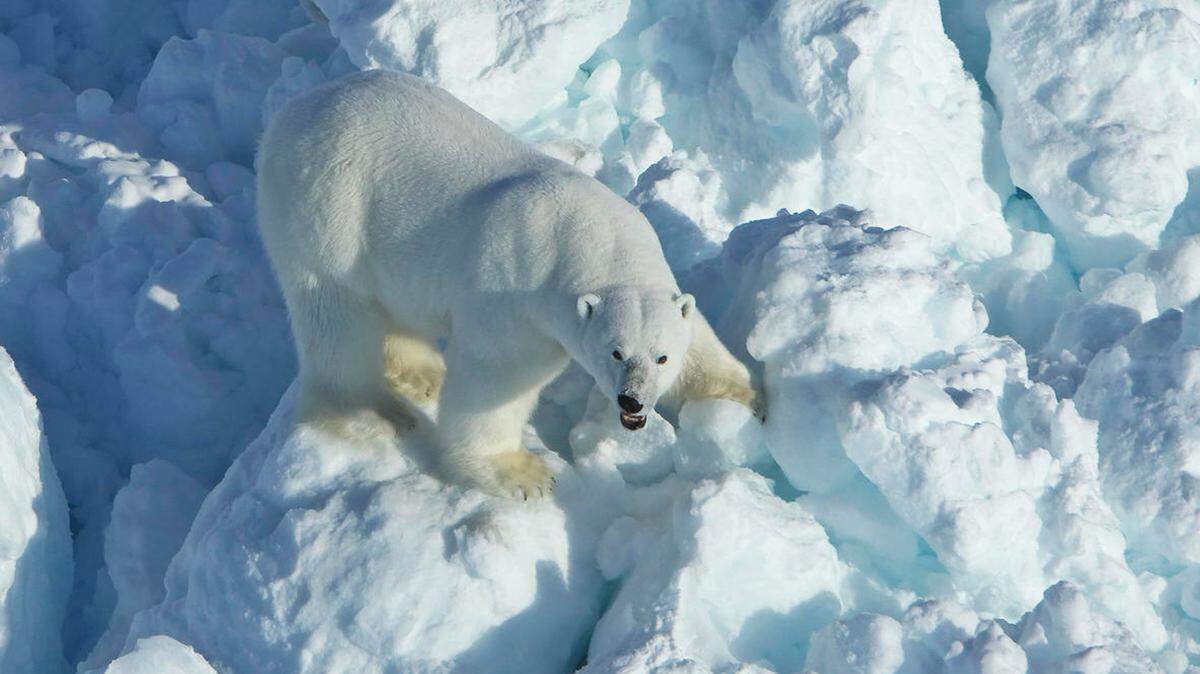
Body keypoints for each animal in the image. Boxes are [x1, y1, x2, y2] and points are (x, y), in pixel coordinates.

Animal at [256, 70, 762, 499]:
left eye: (661, 357)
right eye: (615, 352)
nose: (632, 402)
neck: (590, 236)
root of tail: (290, 114)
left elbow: (698, 340)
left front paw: (747, 399)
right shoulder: (517, 296)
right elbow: (496, 379)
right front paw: (521, 474)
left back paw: (423, 374)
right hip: (328, 210)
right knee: (336, 315)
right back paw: (375, 412)